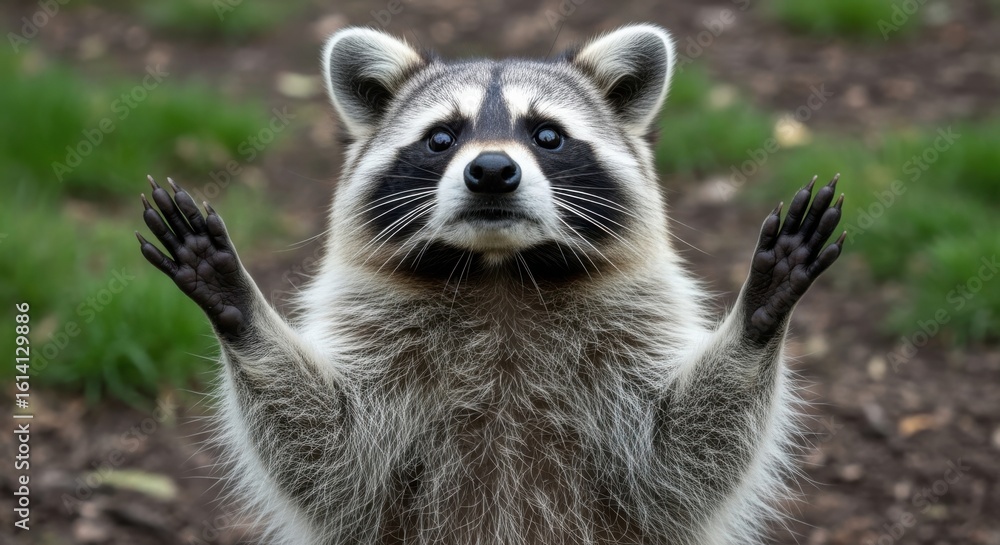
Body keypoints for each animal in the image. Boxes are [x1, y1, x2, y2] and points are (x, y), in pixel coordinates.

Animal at [137, 24, 845, 545]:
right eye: (441, 137)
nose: (493, 170)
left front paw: (760, 316)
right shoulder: (378, 345)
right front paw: (238, 306)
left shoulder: (631, 334)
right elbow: (331, 455)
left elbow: (681, 458)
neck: (499, 271)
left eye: (548, 134)